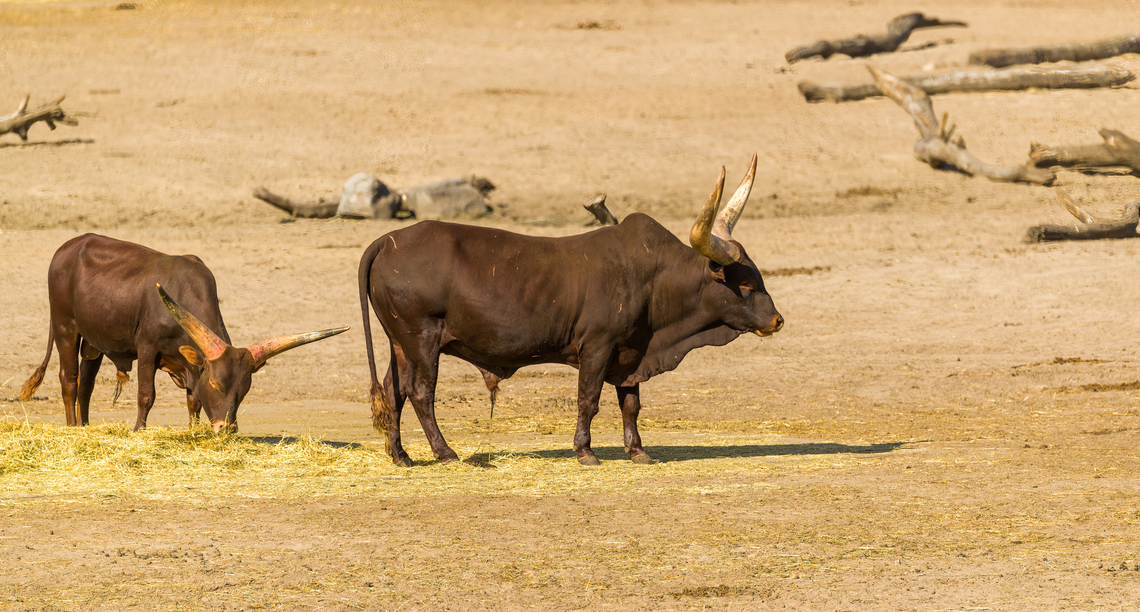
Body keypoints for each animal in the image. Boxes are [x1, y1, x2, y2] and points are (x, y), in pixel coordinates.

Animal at [19, 234, 348, 432]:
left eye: (244, 389)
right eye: (216, 384)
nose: (226, 429)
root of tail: (67, 247)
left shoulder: (191, 364)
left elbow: (193, 400)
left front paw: (193, 431)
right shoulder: (147, 349)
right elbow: (146, 395)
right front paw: (138, 431)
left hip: (93, 342)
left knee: (86, 384)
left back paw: (85, 426)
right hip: (66, 328)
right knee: (69, 380)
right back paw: (72, 427)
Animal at [358, 154, 783, 466]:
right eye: (746, 285)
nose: (777, 320)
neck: (652, 278)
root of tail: (387, 240)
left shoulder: (631, 353)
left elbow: (631, 404)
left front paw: (638, 451)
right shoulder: (597, 346)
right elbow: (588, 399)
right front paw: (585, 451)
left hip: (400, 342)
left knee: (394, 391)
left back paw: (401, 455)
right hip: (422, 338)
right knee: (420, 393)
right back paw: (445, 452)